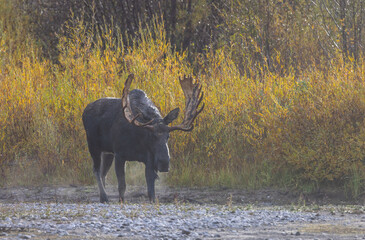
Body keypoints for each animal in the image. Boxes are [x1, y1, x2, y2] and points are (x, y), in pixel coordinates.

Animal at [81, 73, 203, 202]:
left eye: (168, 136)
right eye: (151, 136)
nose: (164, 163)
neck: (139, 139)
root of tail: (84, 111)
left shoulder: (149, 160)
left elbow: (151, 190)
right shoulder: (119, 154)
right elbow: (122, 186)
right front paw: (121, 201)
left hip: (107, 152)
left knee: (103, 173)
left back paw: (102, 197)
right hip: (93, 146)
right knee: (96, 170)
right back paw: (104, 197)